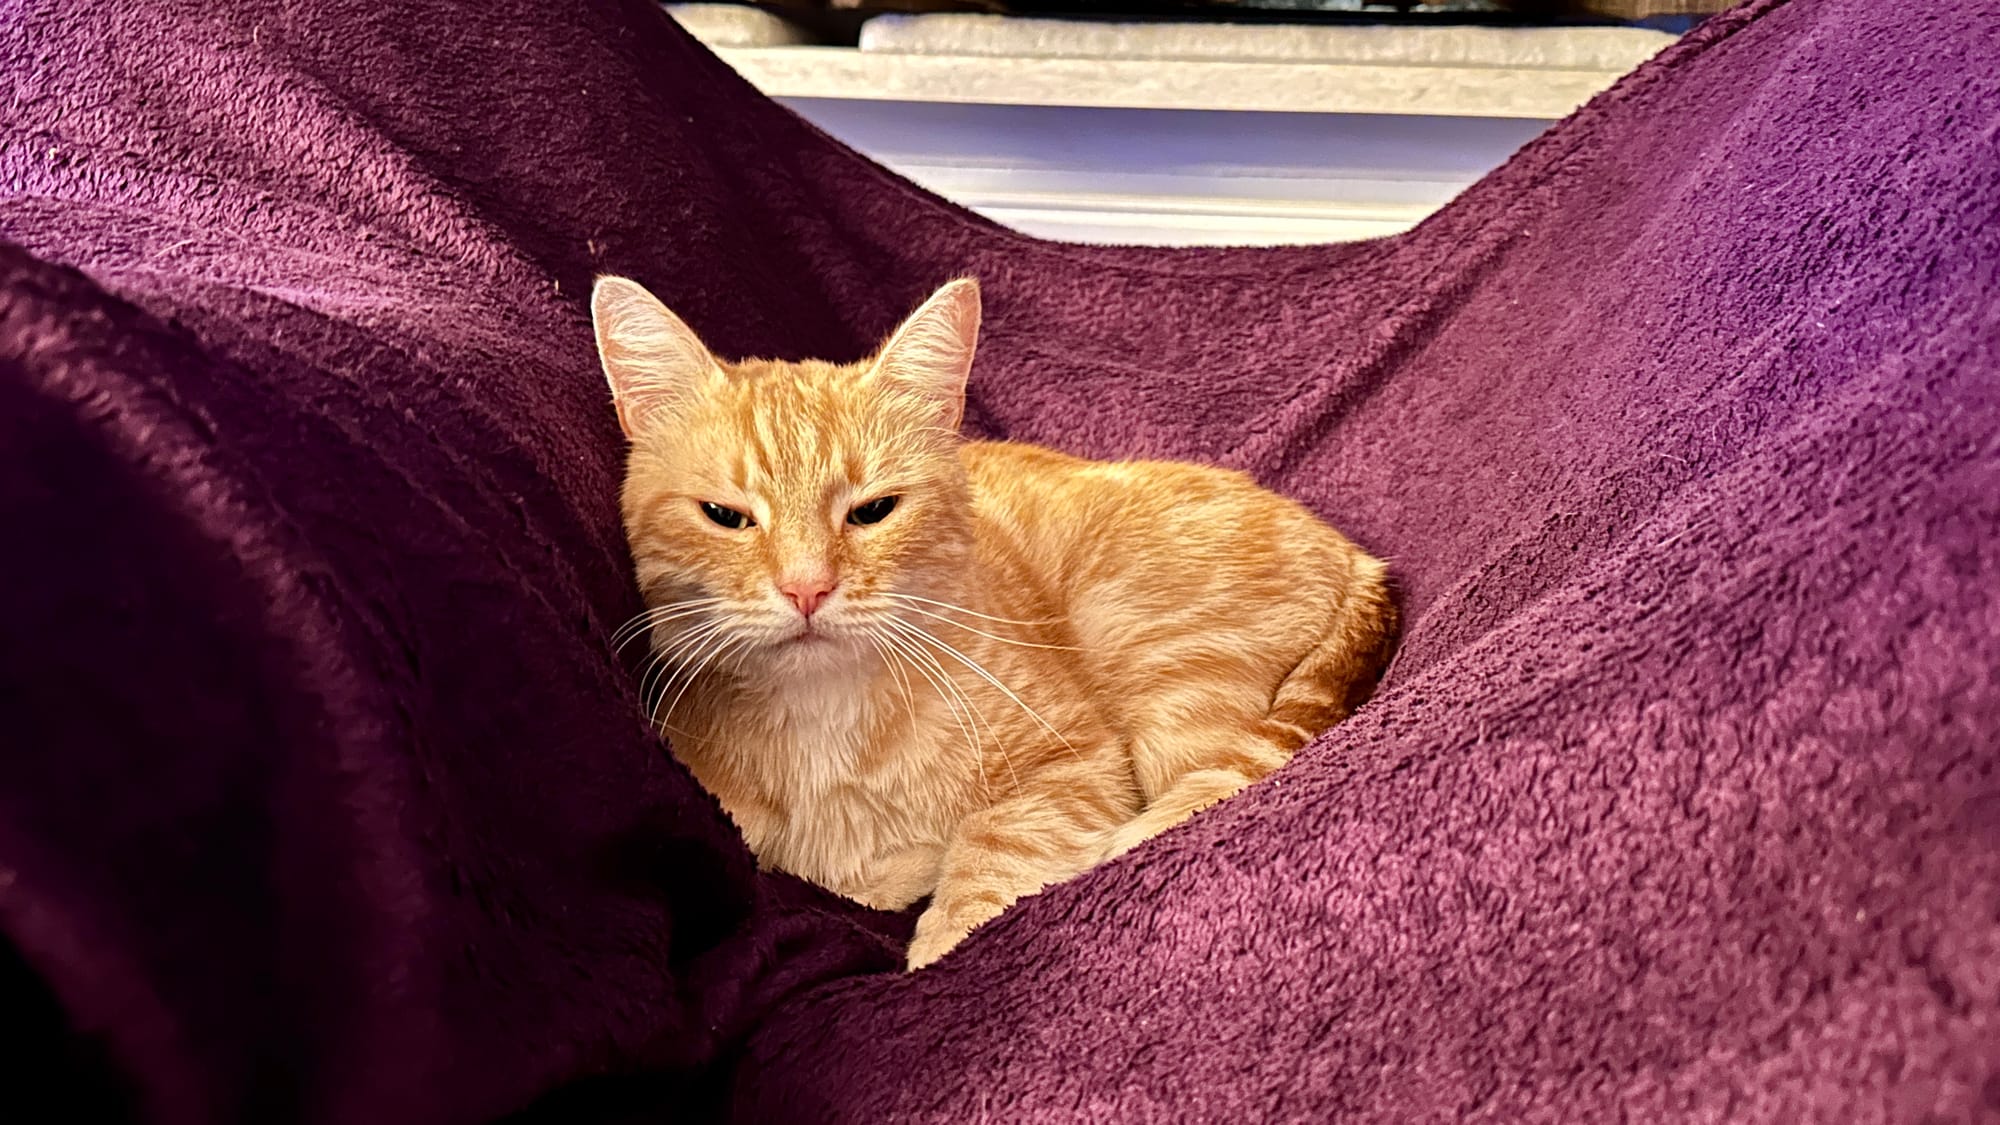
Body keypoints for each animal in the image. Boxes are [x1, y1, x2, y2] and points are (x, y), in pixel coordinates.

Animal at [596, 274, 1392, 964]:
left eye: (873, 510)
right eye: (725, 516)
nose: (807, 589)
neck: (823, 720)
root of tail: (1356, 554)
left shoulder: (1079, 763)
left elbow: (993, 842)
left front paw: (944, 935)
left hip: (1159, 668)